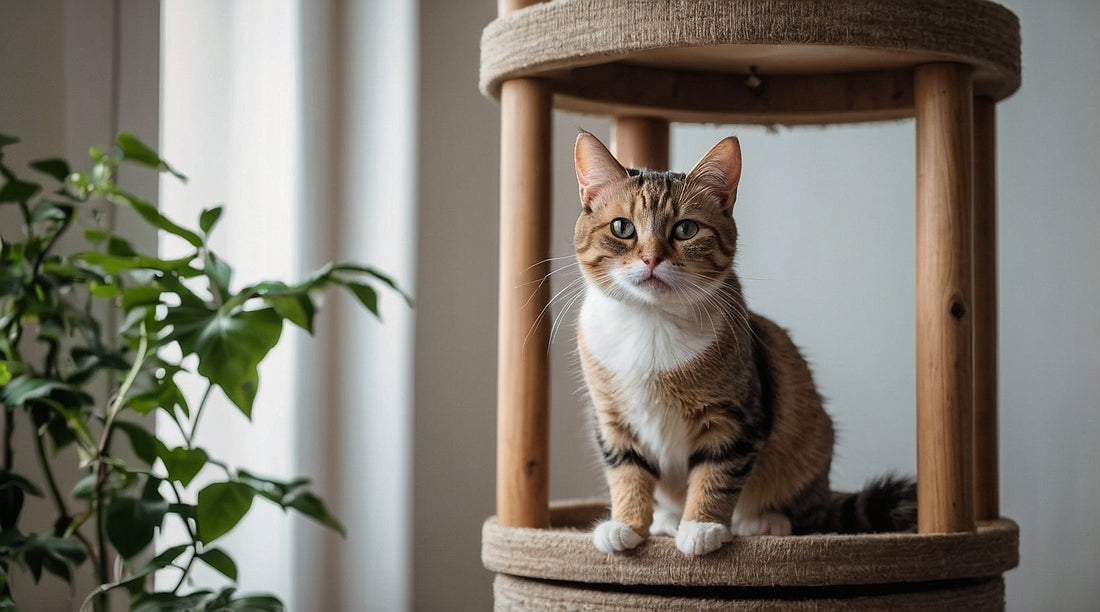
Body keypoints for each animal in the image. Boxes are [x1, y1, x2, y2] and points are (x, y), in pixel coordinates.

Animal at [572, 131, 915, 556]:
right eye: (622, 227)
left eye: (685, 230)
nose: (651, 259)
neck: (651, 324)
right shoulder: (613, 420)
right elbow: (627, 473)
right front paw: (626, 525)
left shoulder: (734, 416)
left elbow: (716, 475)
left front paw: (702, 527)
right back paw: (666, 521)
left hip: (807, 439)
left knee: (807, 513)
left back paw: (763, 521)